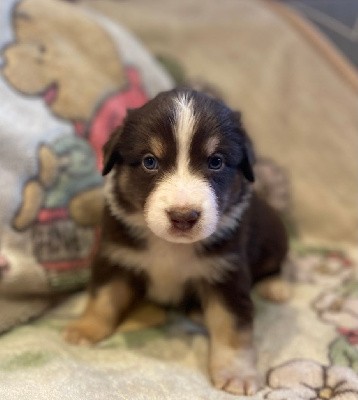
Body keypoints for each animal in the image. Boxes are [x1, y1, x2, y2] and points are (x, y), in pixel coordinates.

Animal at [63, 86, 288, 394]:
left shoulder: (226, 272)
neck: (170, 246)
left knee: (276, 264)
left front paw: (236, 372)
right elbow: (104, 296)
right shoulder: (116, 254)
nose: (183, 217)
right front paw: (85, 328)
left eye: (216, 162)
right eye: (149, 161)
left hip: (274, 236)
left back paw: (275, 286)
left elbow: (232, 327)